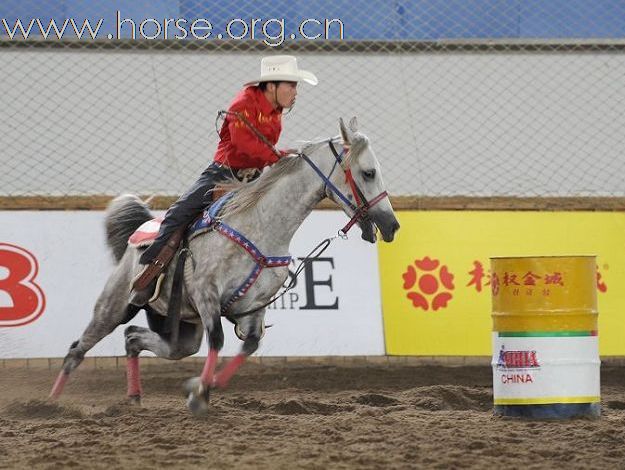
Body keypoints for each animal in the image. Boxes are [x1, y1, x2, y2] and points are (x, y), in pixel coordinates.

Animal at [48, 117, 400, 414]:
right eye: (368, 172)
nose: (392, 225)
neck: (261, 226)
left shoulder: (254, 307)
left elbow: (251, 344)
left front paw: (202, 387)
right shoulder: (207, 295)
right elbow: (217, 340)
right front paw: (199, 394)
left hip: (181, 332)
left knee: (134, 338)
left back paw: (134, 397)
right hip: (114, 307)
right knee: (77, 349)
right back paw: (50, 404)